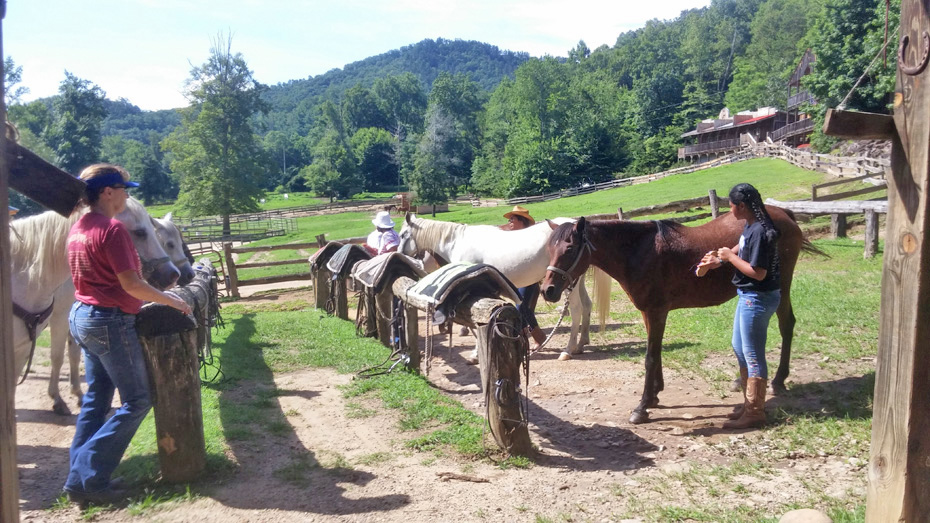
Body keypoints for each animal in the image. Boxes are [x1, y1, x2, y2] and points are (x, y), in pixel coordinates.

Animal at [13, 199, 179, 416]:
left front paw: (77, 394)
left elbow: (74, 354)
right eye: (140, 232)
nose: (175, 274)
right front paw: (58, 400)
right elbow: (57, 356)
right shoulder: (60, 317)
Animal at [398, 213, 596, 360]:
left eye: (402, 235)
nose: (397, 253)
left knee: (577, 310)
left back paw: (568, 350)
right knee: (587, 304)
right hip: (576, 282)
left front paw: (475, 355)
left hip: (569, 285)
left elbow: (475, 323)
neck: (457, 242)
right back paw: (581, 343)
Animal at [540, 206, 824, 426]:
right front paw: (655, 395)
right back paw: (741, 381)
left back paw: (778, 380)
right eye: (549, 250)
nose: (547, 290)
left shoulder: (656, 311)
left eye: (569, 249)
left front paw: (642, 407)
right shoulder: (649, 312)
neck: (639, 251)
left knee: (786, 325)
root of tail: (783, 214)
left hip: (780, 286)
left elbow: (650, 358)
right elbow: (656, 354)